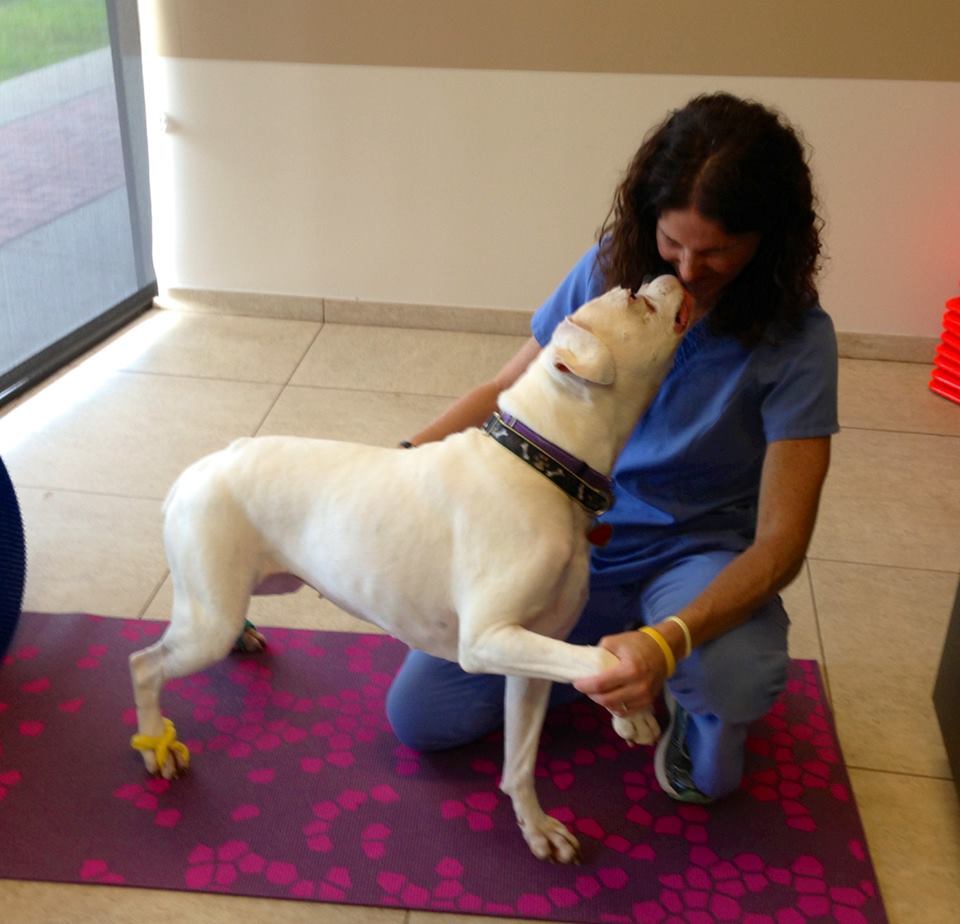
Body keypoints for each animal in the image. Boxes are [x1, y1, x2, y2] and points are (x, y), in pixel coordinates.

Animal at [131, 278, 688, 864]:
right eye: (635, 299)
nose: (673, 279)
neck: (543, 466)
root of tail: (198, 469)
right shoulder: (487, 640)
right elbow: (598, 657)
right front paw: (630, 707)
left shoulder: (528, 656)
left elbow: (525, 753)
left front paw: (537, 828)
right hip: (204, 629)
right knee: (146, 666)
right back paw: (156, 745)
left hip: (252, 585)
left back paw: (244, 636)